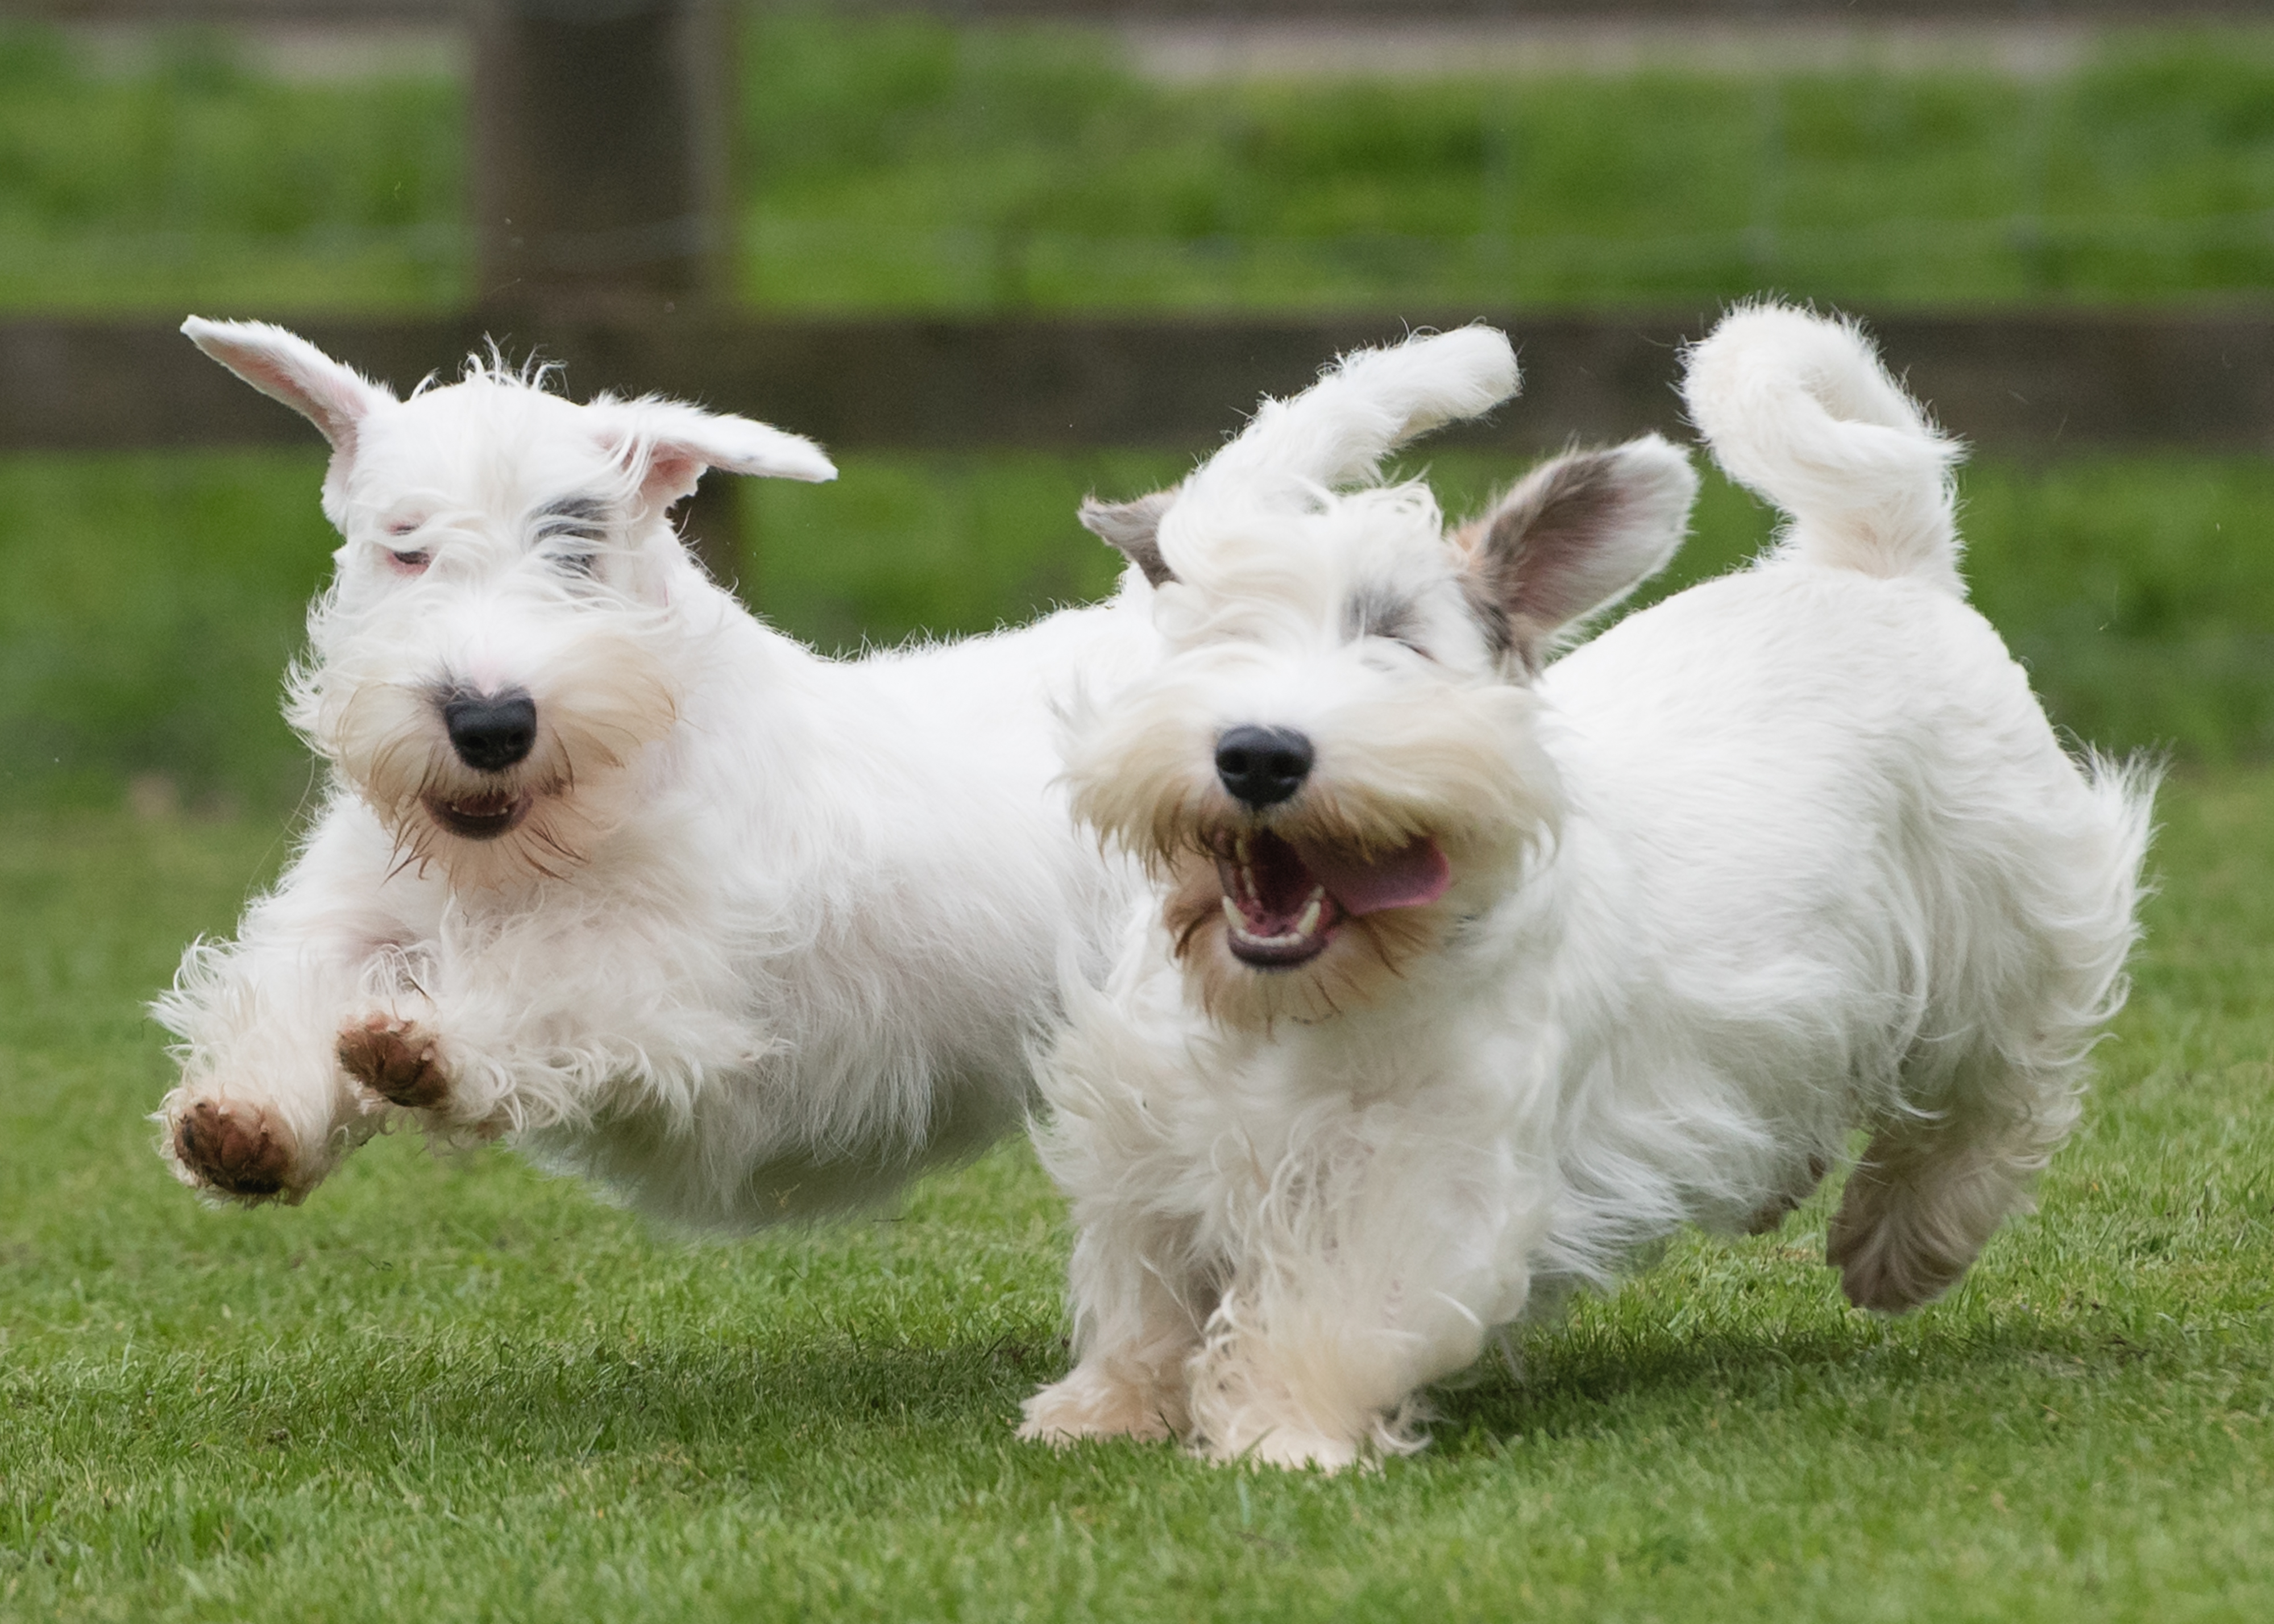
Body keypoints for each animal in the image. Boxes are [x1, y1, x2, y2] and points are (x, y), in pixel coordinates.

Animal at [158, 316, 1155, 1228]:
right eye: (406, 544)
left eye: (578, 550)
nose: (491, 721)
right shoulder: (357, 913)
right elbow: (297, 985)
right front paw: (245, 1122)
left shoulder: (660, 968)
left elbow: (546, 983)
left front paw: (424, 1045)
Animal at [1023, 314, 2156, 1464]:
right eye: (1218, 633)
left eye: (1400, 642)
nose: (1259, 754)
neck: (1295, 1007)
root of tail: (1883, 563)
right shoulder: (1143, 1130)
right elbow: (1145, 1281)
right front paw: (1107, 1407)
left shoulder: (1425, 1177)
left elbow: (1331, 1308)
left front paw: (1281, 1430)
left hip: (2013, 934)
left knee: (1996, 1101)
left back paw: (1903, 1239)